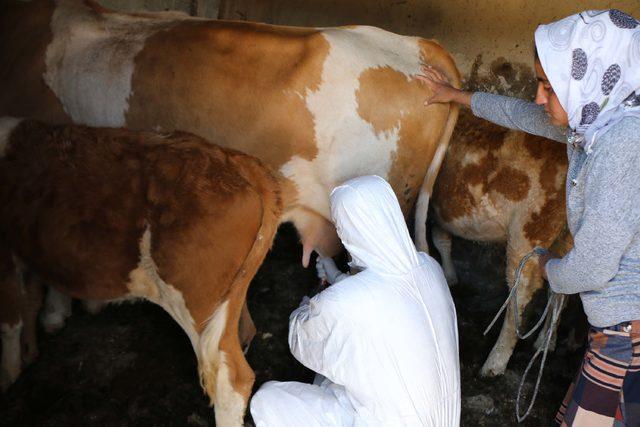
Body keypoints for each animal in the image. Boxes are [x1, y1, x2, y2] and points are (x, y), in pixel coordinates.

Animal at [0, 117, 282, 427]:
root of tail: (238, 162)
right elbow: (32, 298)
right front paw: (35, 345)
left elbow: (9, 320)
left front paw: (8, 377)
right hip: (229, 300)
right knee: (244, 336)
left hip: (195, 302)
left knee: (229, 380)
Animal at [430, 109, 568, 378]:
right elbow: (442, 240)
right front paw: (449, 276)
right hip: (566, 236)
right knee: (560, 290)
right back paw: (546, 340)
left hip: (528, 231)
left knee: (521, 291)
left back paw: (494, 363)